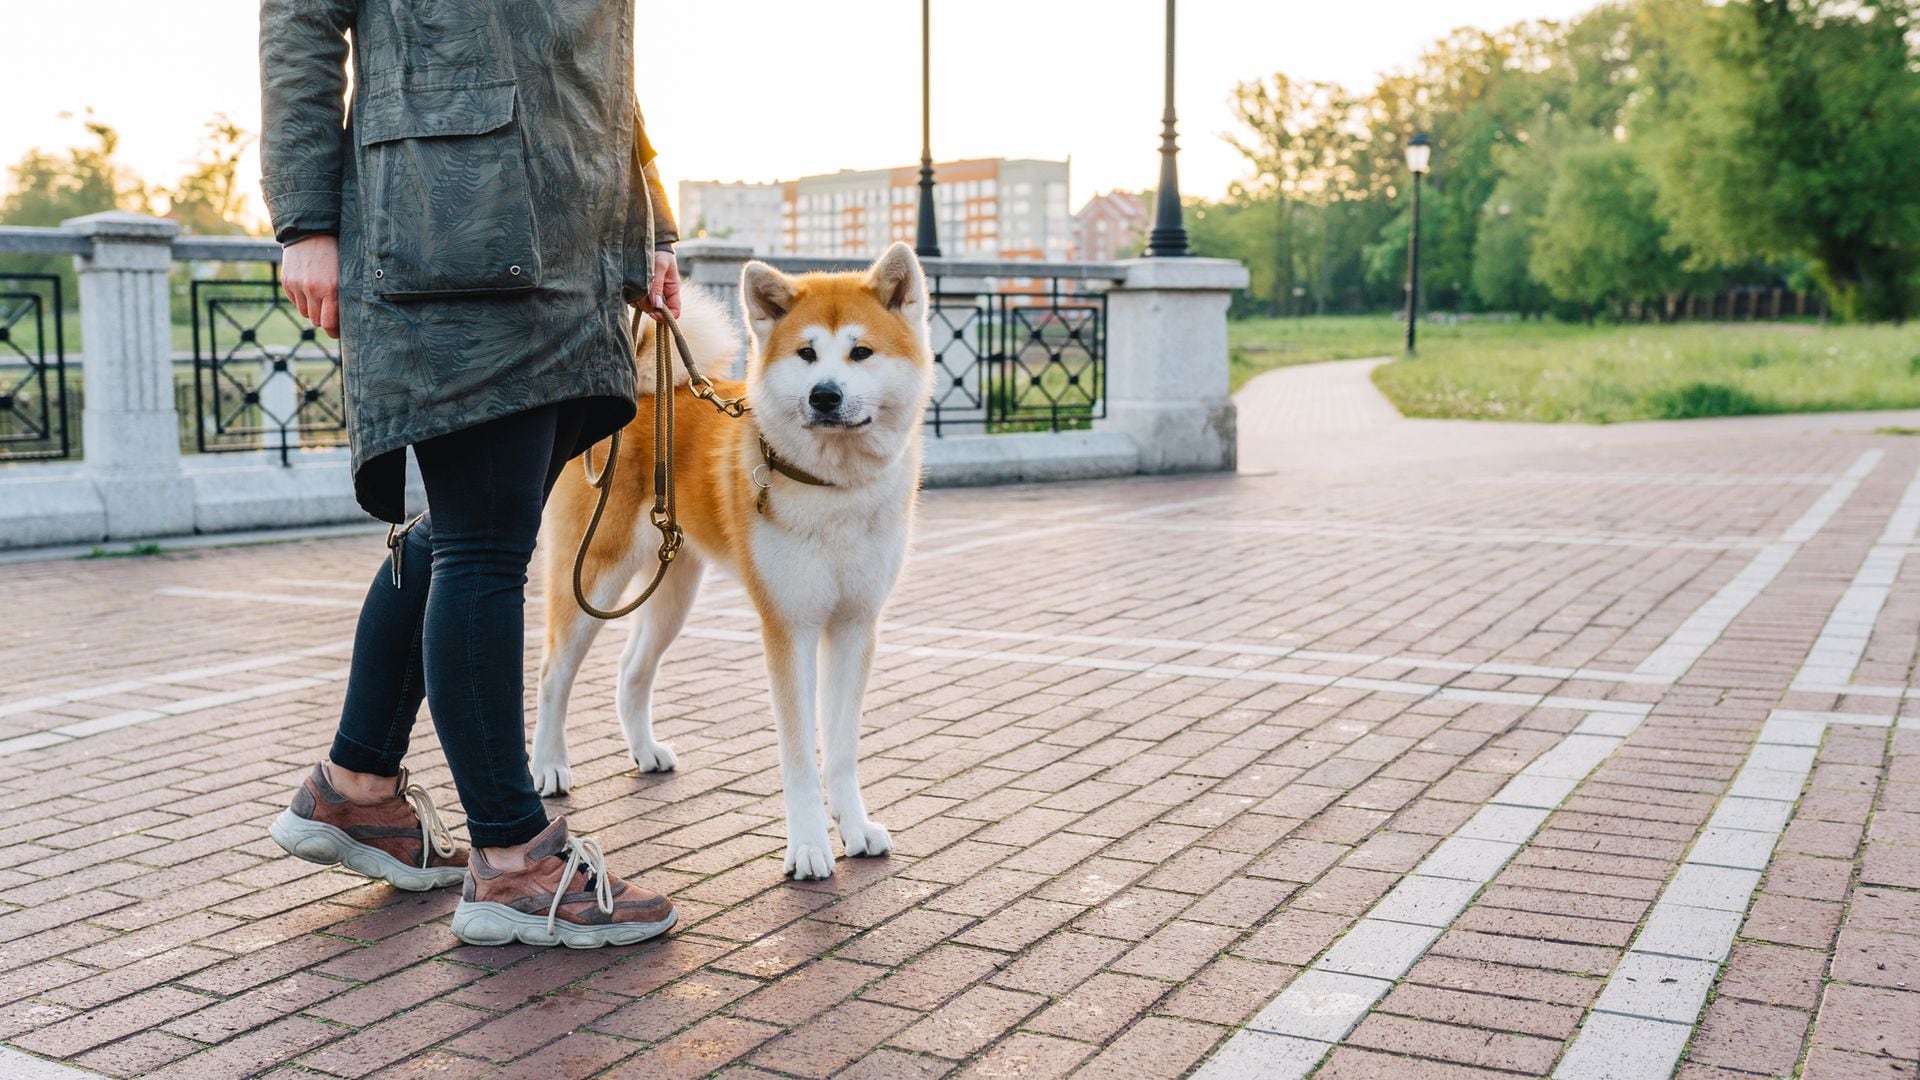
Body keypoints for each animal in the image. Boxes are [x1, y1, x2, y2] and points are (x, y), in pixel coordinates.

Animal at [537, 242, 933, 876]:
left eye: (861, 352)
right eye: (806, 353)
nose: (825, 394)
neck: (833, 488)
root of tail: (648, 391)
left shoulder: (855, 625)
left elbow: (841, 751)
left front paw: (855, 827)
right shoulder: (789, 627)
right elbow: (799, 755)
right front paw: (809, 847)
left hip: (674, 590)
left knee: (631, 670)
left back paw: (645, 752)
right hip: (592, 578)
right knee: (553, 674)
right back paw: (549, 766)